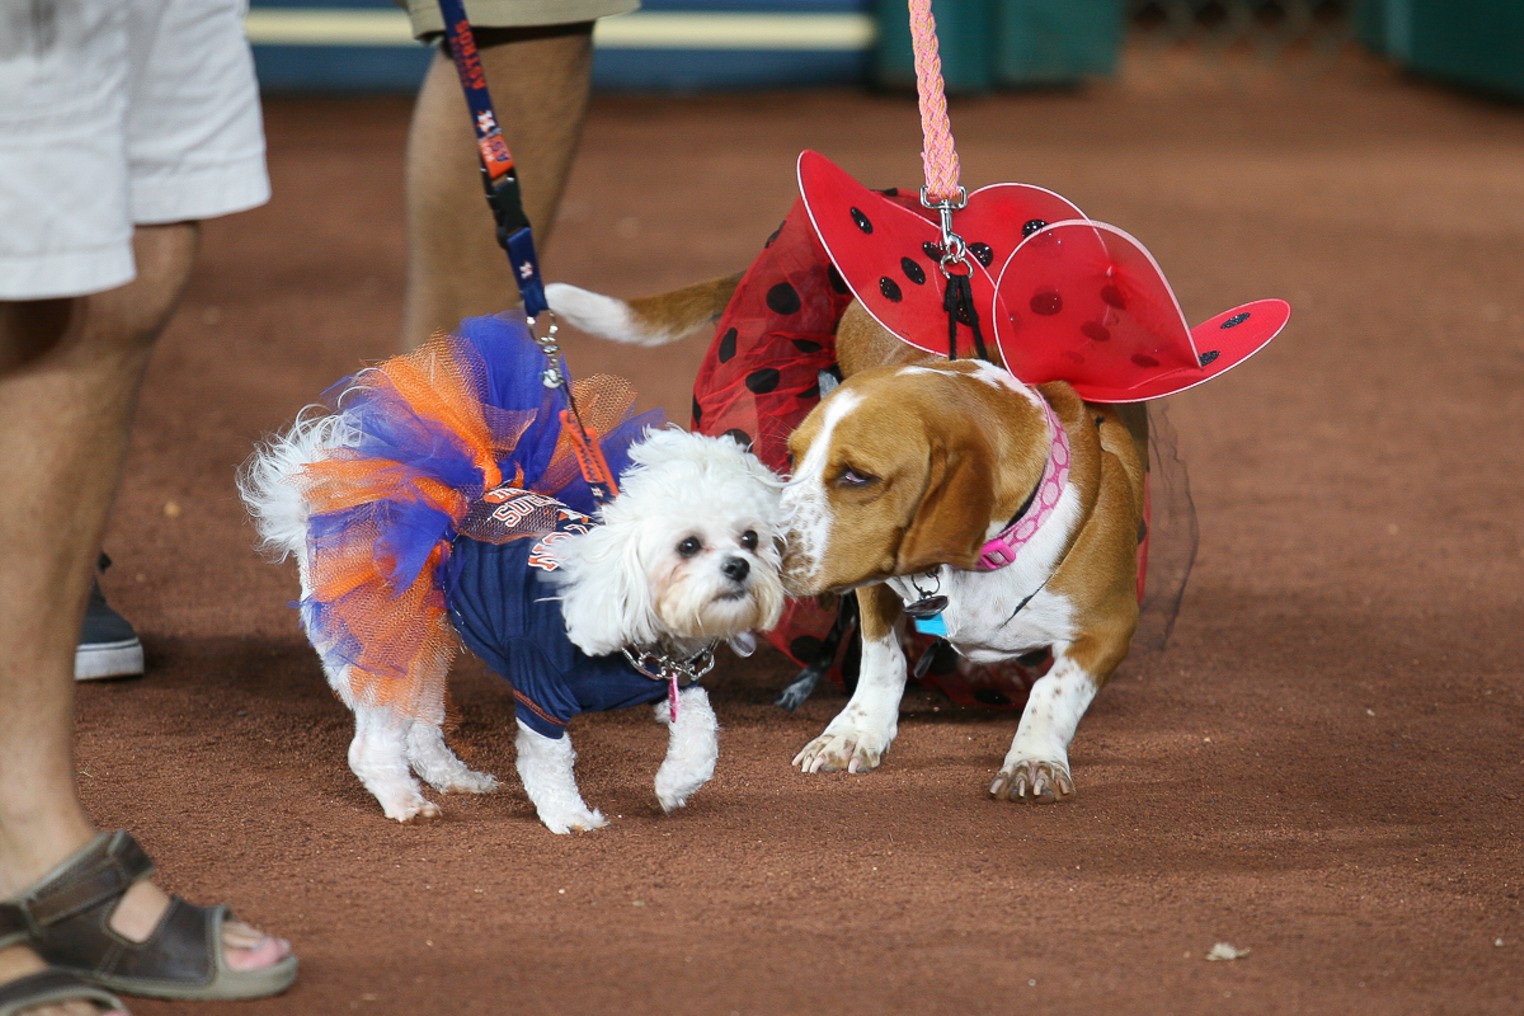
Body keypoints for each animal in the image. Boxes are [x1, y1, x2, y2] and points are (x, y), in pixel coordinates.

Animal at [240, 318, 786, 834]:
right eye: (687, 545)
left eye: (750, 539)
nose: (739, 567)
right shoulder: (540, 695)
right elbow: (551, 765)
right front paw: (571, 817)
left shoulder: (681, 687)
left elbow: (700, 734)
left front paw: (673, 786)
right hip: (389, 649)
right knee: (373, 746)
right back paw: (406, 802)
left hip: (430, 646)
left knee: (422, 729)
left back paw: (456, 778)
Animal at [545, 280, 1146, 804]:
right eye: (792, 457)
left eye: (857, 476)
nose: (755, 547)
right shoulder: (874, 581)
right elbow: (883, 661)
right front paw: (855, 733)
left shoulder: (1112, 626)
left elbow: (1053, 689)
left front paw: (1033, 759)